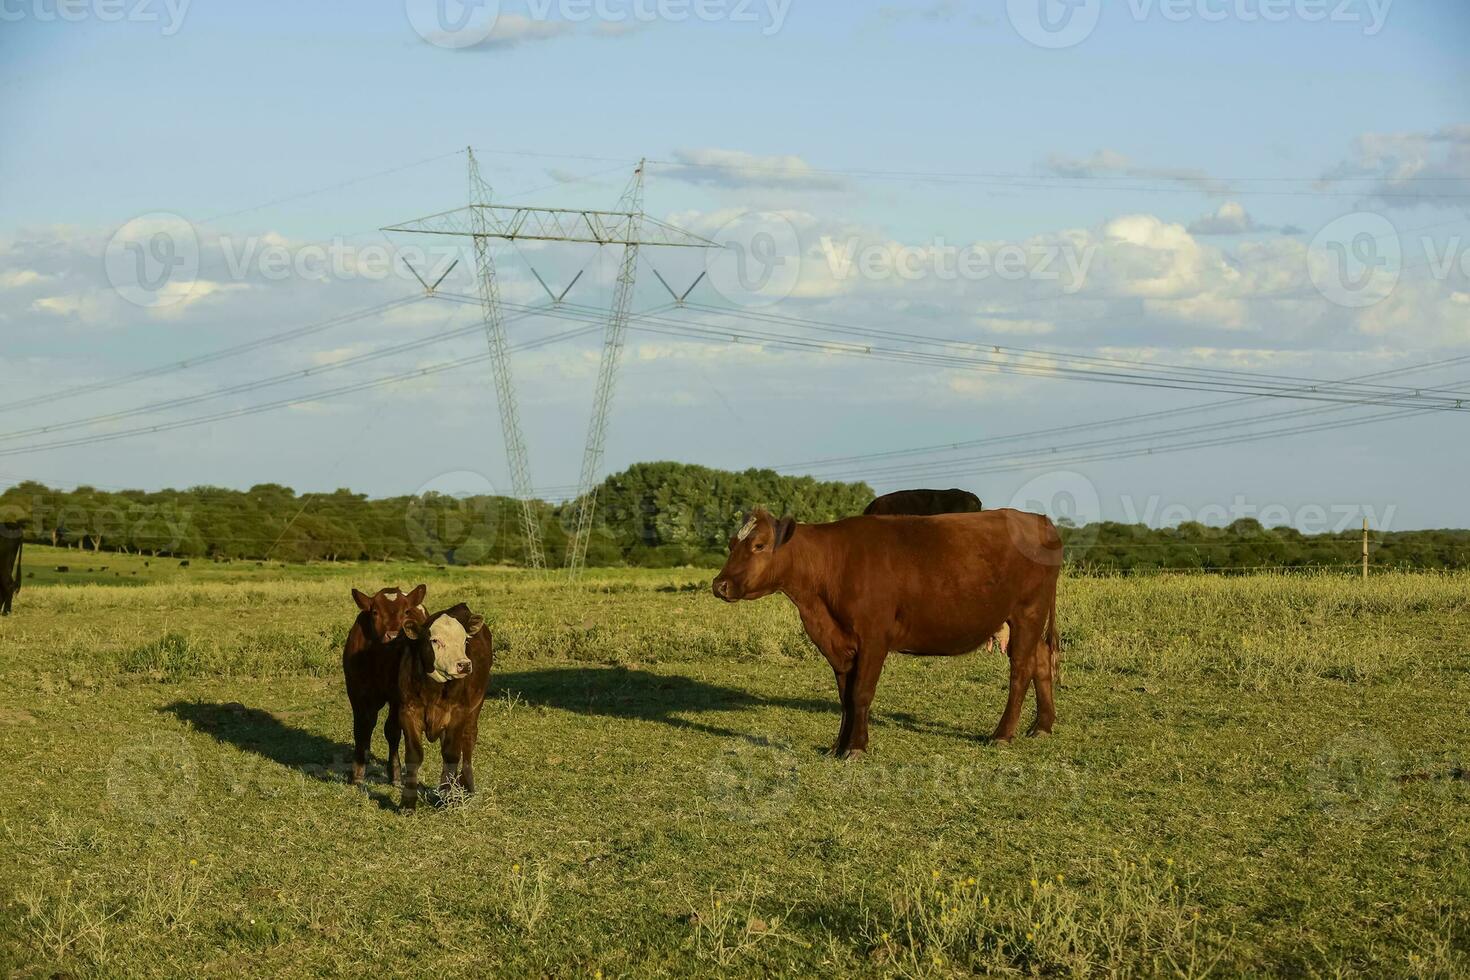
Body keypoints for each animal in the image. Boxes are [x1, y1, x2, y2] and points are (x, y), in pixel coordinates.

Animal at [336, 587, 420, 787]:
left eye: (406, 611)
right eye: (375, 612)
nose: (394, 635)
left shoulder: (397, 695)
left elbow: (392, 730)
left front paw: (395, 773)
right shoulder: (355, 690)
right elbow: (361, 727)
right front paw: (357, 771)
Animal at [396, 602, 493, 811]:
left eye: (465, 640)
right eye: (434, 640)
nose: (464, 665)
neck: (432, 689)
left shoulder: (458, 714)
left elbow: (451, 754)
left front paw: (448, 798)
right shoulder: (408, 713)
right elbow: (414, 755)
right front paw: (407, 802)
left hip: (475, 706)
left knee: (468, 740)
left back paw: (465, 785)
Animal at [711, 511, 1058, 758]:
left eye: (758, 545)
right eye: (731, 544)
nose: (720, 585)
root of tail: (1037, 519)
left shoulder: (873, 638)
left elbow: (861, 693)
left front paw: (856, 748)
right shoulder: (838, 643)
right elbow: (845, 697)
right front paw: (837, 746)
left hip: (1028, 613)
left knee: (1021, 670)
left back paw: (1002, 734)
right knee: (1041, 660)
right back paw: (1042, 726)